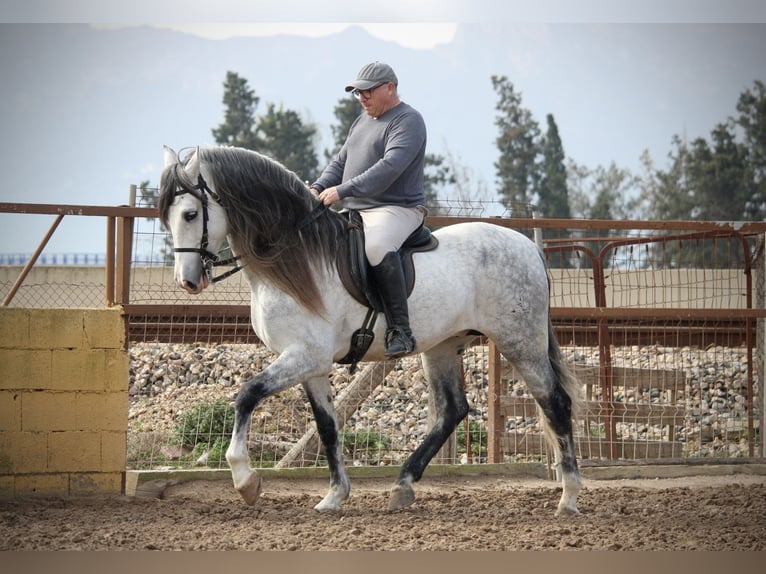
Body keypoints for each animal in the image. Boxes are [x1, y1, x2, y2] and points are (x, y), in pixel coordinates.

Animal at [159, 144, 584, 516]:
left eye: (190, 215)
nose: (187, 282)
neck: (296, 257)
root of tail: (528, 246)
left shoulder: (303, 356)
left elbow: (247, 394)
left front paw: (246, 481)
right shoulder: (312, 365)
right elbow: (327, 428)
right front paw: (334, 497)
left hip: (520, 342)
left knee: (554, 403)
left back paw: (569, 498)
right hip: (443, 346)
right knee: (452, 410)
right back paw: (403, 486)